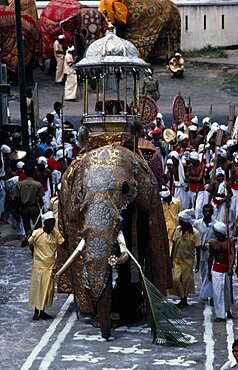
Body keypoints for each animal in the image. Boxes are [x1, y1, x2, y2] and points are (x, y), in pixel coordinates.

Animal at [57, 145, 173, 342]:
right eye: (80, 191)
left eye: (125, 188)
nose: (106, 337)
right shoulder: (71, 211)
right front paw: (99, 318)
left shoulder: (147, 203)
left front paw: (123, 315)